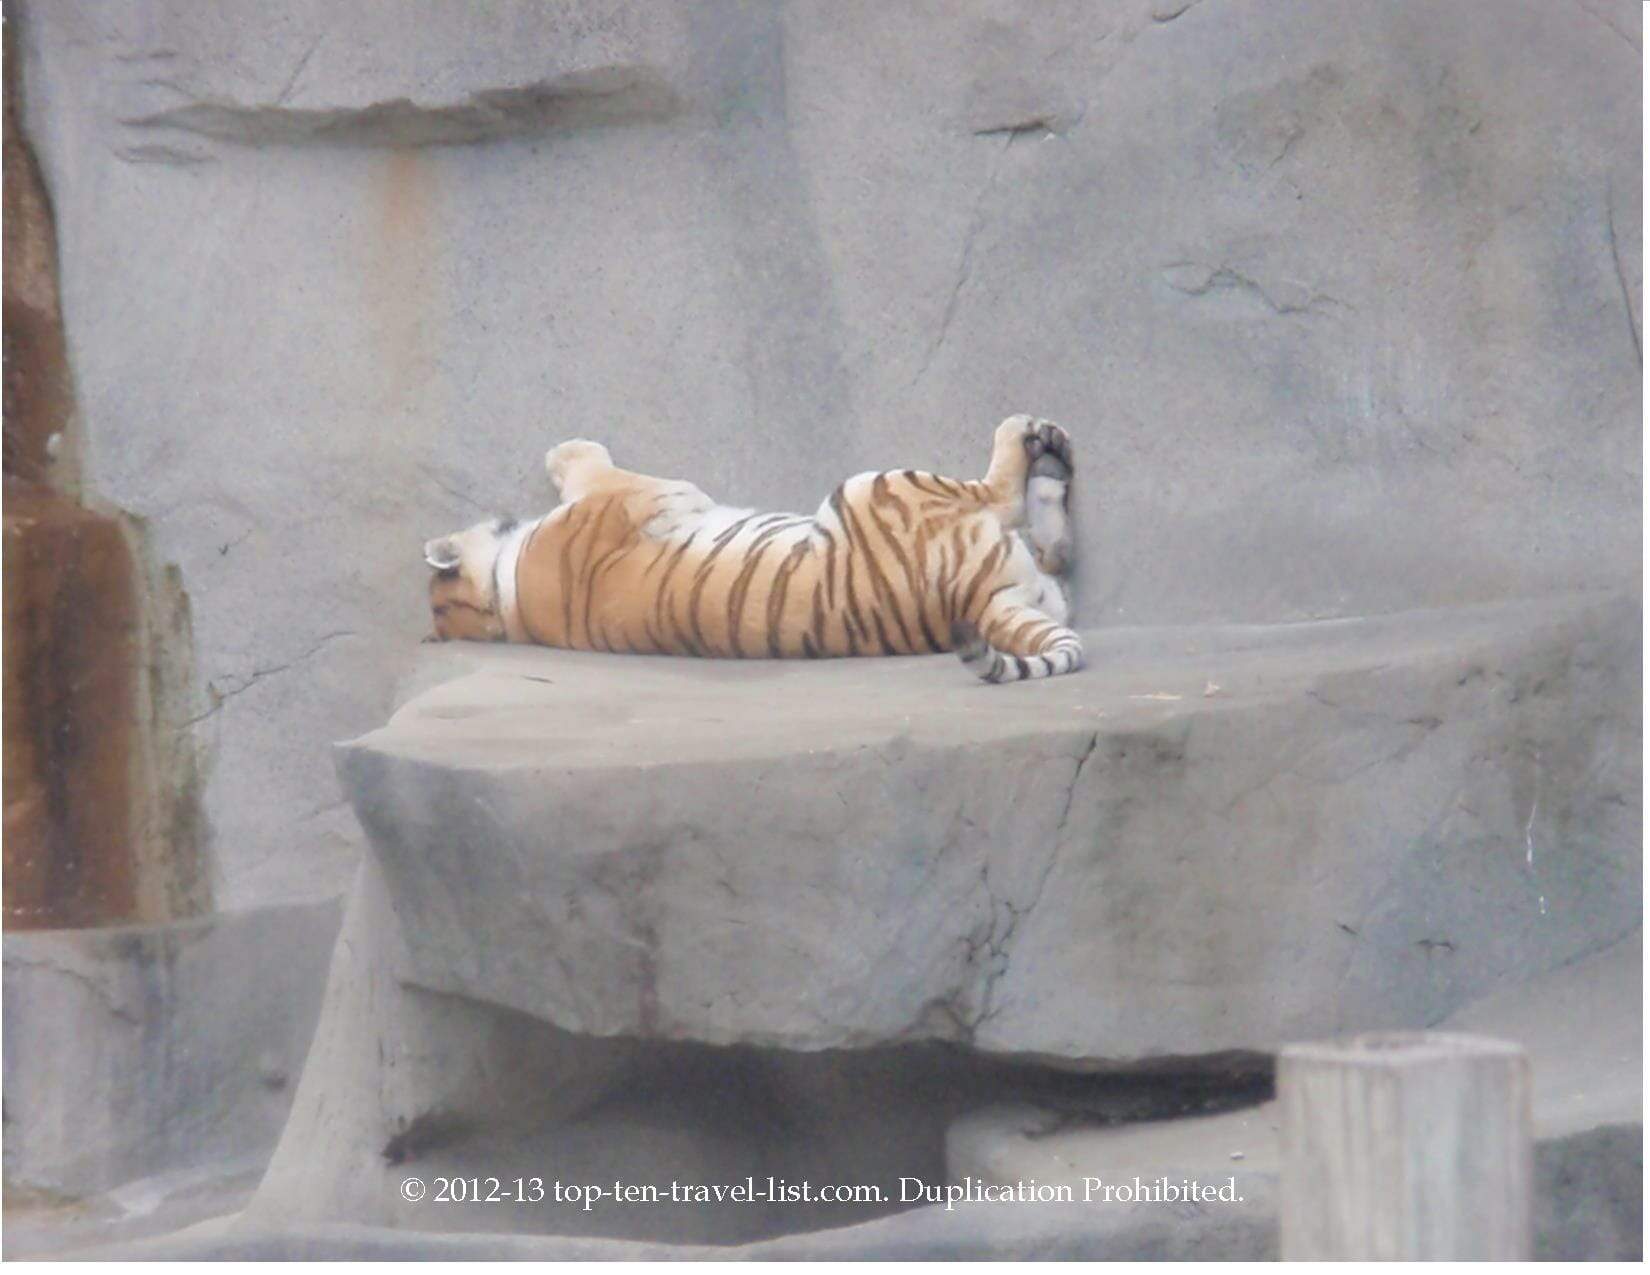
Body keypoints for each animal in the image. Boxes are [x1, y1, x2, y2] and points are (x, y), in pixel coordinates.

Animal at [422, 414, 1082, 683]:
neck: (503, 602)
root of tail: (978, 600)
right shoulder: (647, 492)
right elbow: (594, 465)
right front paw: (569, 448)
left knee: (1053, 552)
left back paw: (1052, 473)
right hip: (879, 485)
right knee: (1003, 496)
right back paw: (1037, 440)